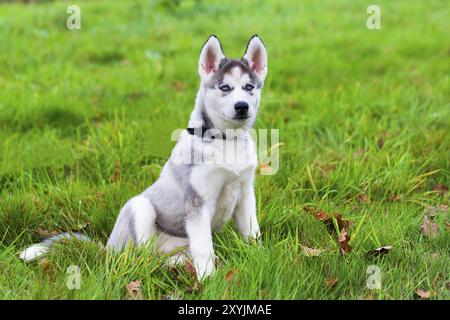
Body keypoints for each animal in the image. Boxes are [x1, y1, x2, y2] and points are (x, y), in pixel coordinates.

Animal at [20, 34, 268, 280]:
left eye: (249, 87)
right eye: (225, 87)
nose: (242, 106)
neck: (226, 141)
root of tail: (108, 249)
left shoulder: (245, 192)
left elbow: (252, 232)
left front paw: (259, 258)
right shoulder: (197, 202)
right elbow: (204, 246)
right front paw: (208, 279)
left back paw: (178, 264)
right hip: (139, 207)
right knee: (143, 259)